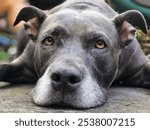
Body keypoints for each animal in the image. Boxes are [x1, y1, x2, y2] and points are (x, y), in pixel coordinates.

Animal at [0, 0, 149, 108]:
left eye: (100, 44)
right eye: (49, 40)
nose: (64, 77)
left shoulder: (140, 67)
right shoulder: (23, 64)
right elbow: (4, 68)